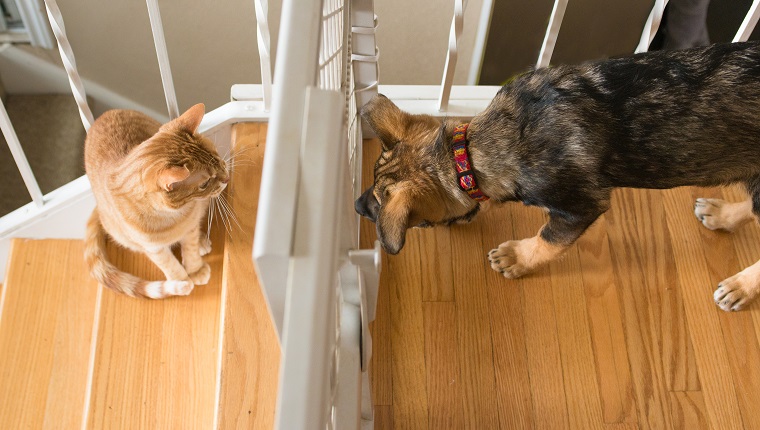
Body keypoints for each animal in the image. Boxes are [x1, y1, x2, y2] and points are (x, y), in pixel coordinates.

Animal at [83, 104, 227, 298]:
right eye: (204, 184)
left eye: (218, 159)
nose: (227, 178)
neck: (173, 217)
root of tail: (102, 116)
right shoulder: (153, 249)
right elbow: (169, 264)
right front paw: (181, 281)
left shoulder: (190, 228)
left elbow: (190, 248)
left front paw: (195, 269)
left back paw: (202, 242)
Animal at [356, 41, 760, 312]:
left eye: (417, 223)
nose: (357, 206)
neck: (470, 153)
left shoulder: (579, 206)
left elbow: (549, 239)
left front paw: (518, 258)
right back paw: (722, 214)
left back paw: (740, 286)